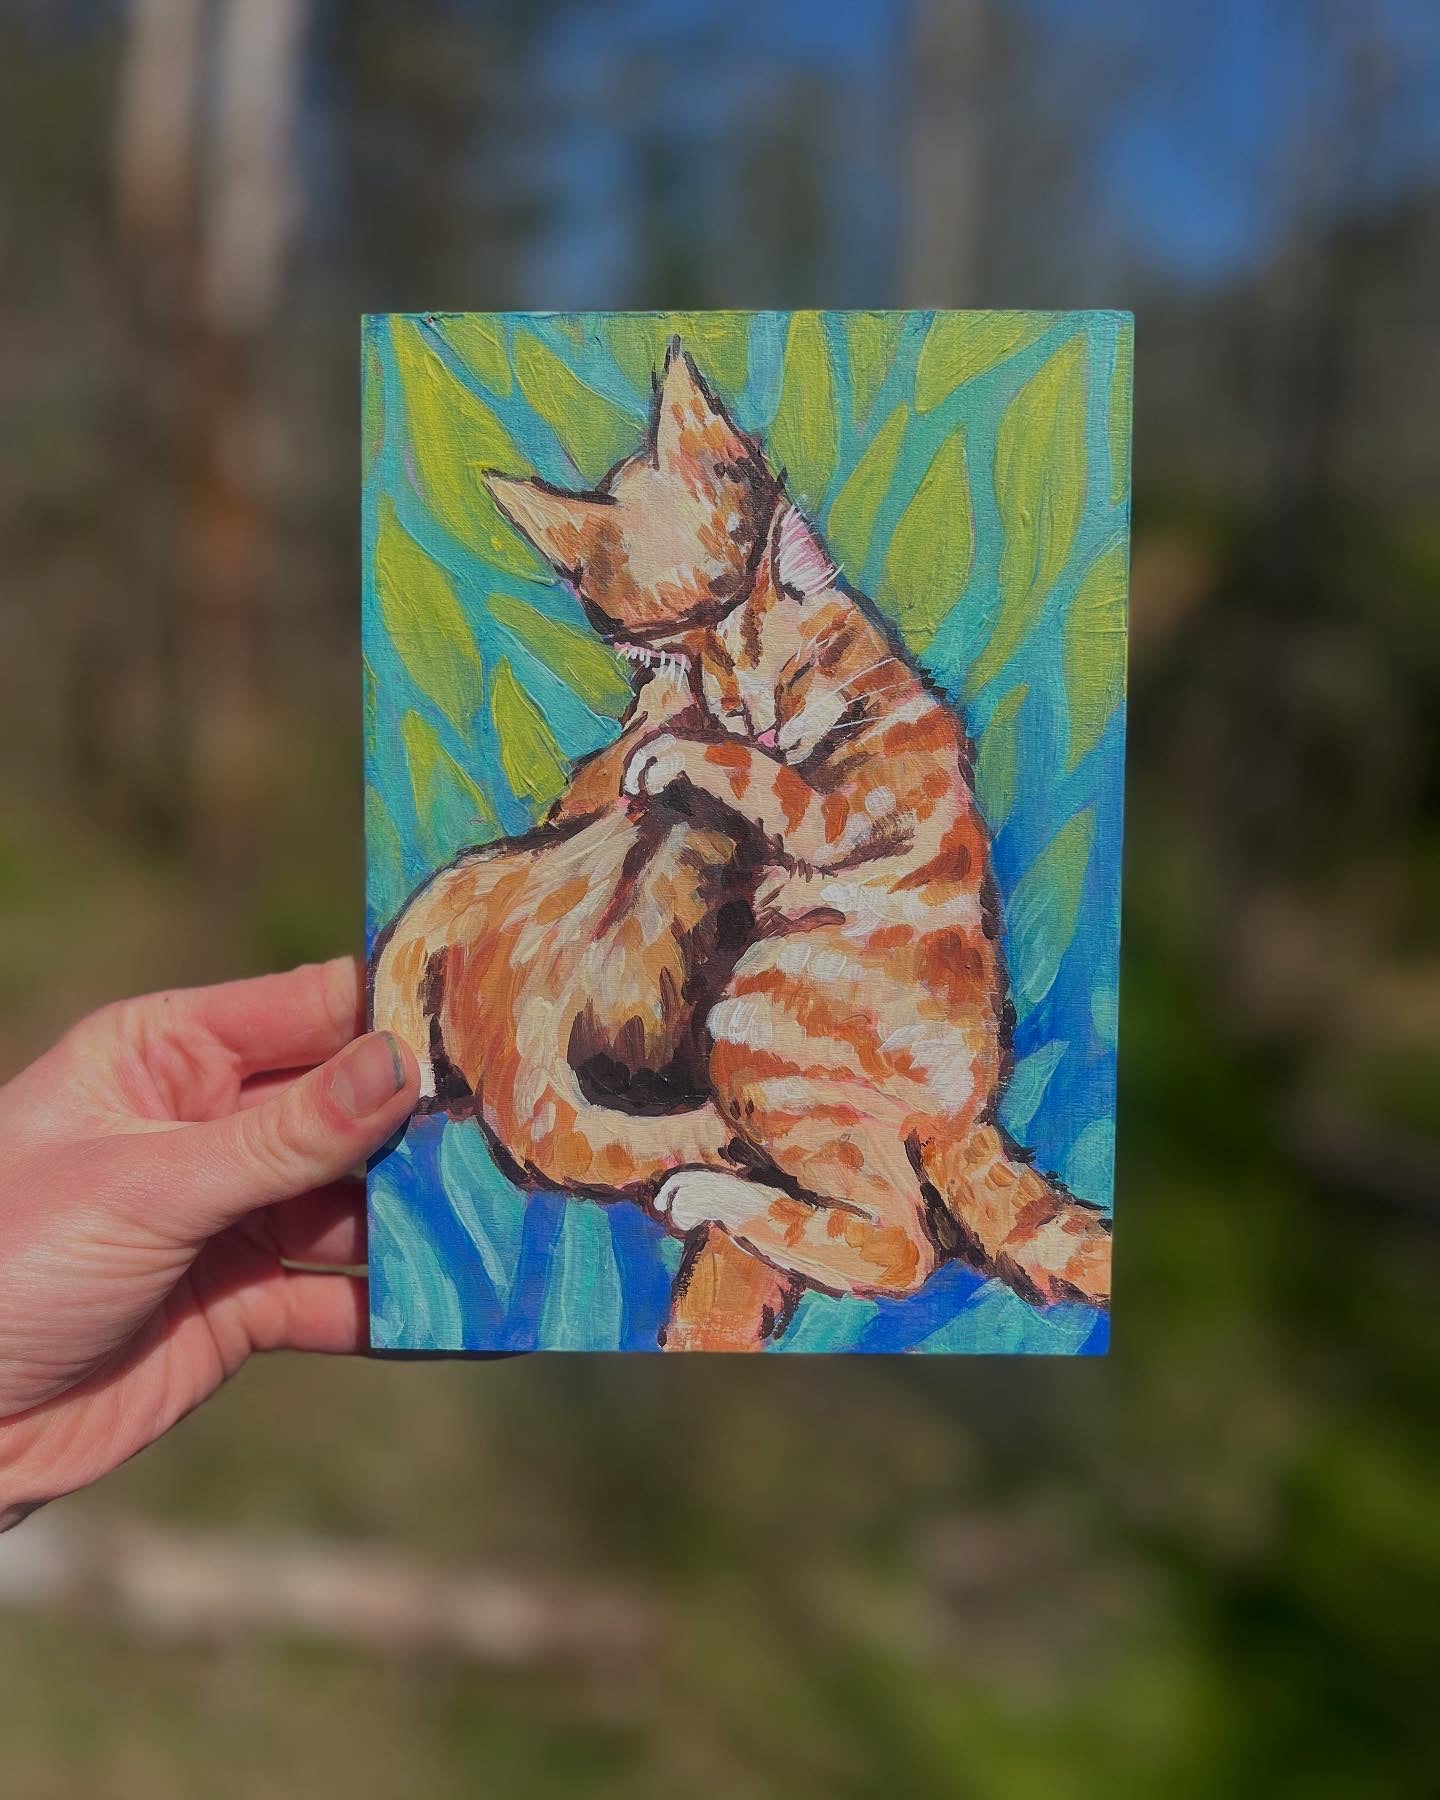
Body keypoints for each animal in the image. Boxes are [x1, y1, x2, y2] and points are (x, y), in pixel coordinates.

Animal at [622, 503, 1113, 1311]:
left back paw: (702, 1195)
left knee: (905, 1246)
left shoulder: (832, 814)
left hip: (758, 1047)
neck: (877, 701)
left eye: (791, 675)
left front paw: (675, 755)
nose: (765, 727)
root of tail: (968, 1114)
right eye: (732, 705)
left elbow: (756, 777)